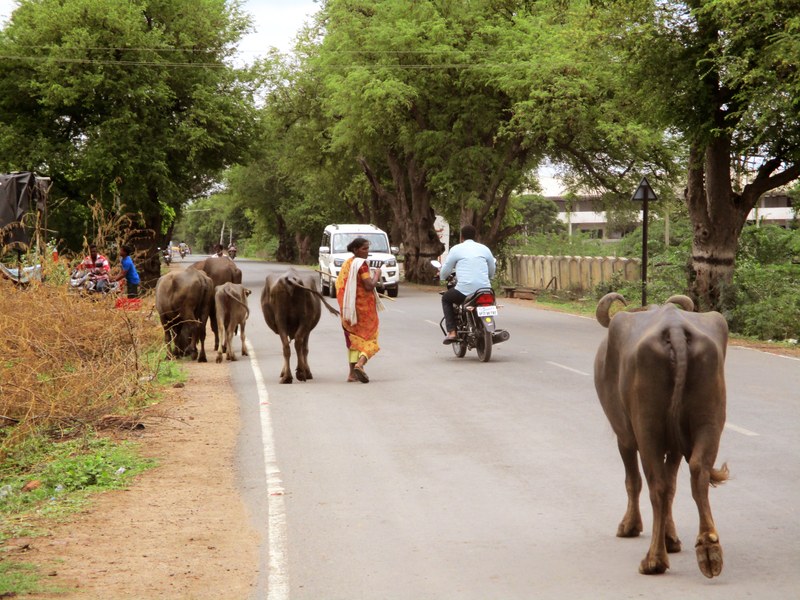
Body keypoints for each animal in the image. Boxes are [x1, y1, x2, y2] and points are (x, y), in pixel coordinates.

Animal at [592, 292, 732, 580]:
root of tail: (675, 330)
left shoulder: (624, 436)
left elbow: (633, 481)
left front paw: (630, 526)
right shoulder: (676, 446)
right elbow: (673, 483)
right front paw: (671, 538)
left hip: (647, 429)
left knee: (656, 486)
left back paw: (654, 560)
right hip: (709, 421)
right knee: (697, 473)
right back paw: (709, 549)